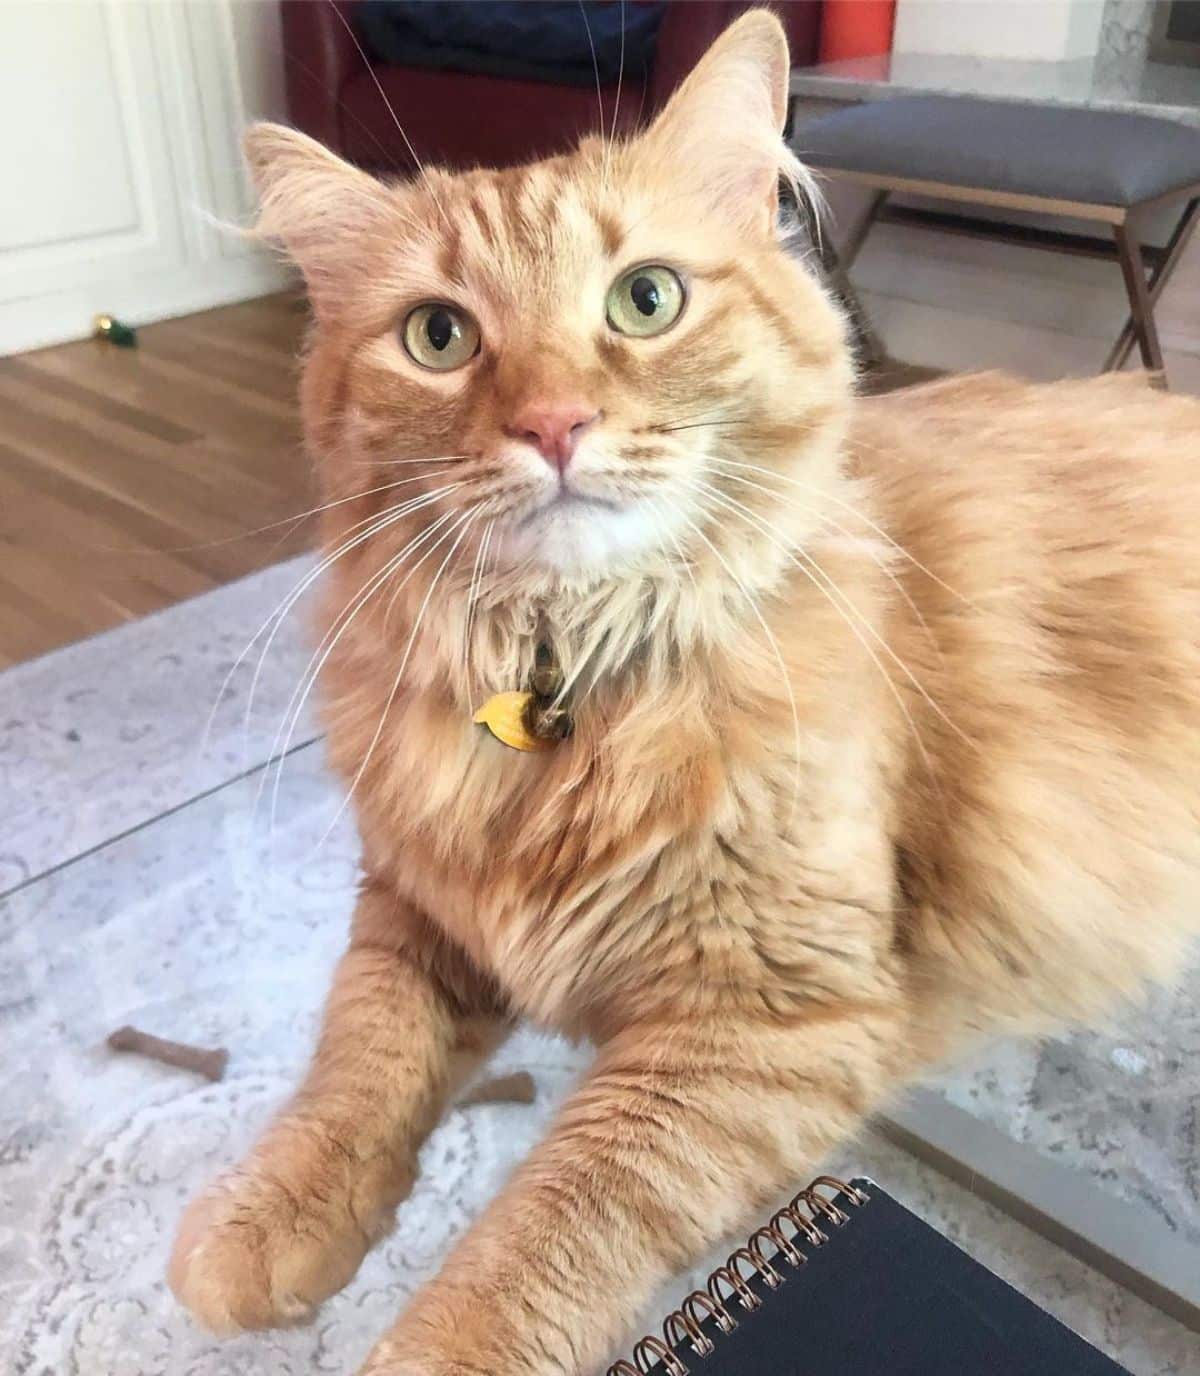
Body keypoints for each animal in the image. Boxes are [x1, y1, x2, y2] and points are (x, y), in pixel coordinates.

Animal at [168, 13, 1200, 1376]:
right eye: (439, 336)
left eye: (644, 299)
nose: (555, 423)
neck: (571, 682)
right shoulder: (419, 906)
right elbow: (359, 1058)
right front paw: (268, 1216)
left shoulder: (766, 1023)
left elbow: (547, 1230)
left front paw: (433, 1341)